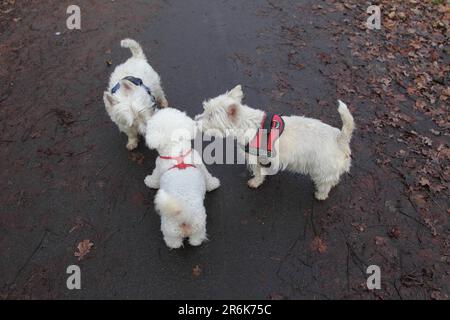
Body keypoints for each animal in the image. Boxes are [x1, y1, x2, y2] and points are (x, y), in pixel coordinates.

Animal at [144, 107, 220, 250]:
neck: (178, 153)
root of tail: (185, 216)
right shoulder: (200, 164)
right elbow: (207, 177)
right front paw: (213, 184)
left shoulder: (158, 168)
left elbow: (154, 178)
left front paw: (148, 181)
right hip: (199, 226)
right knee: (196, 240)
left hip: (170, 230)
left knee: (174, 242)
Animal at [196, 85, 356, 200]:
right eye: (205, 110)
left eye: (210, 116)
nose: (196, 121)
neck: (246, 124)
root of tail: (339, 138)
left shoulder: (257, 158)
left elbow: (258, 173)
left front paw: (255, 182)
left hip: (322, 167)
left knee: (325, 184)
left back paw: (320, 195)